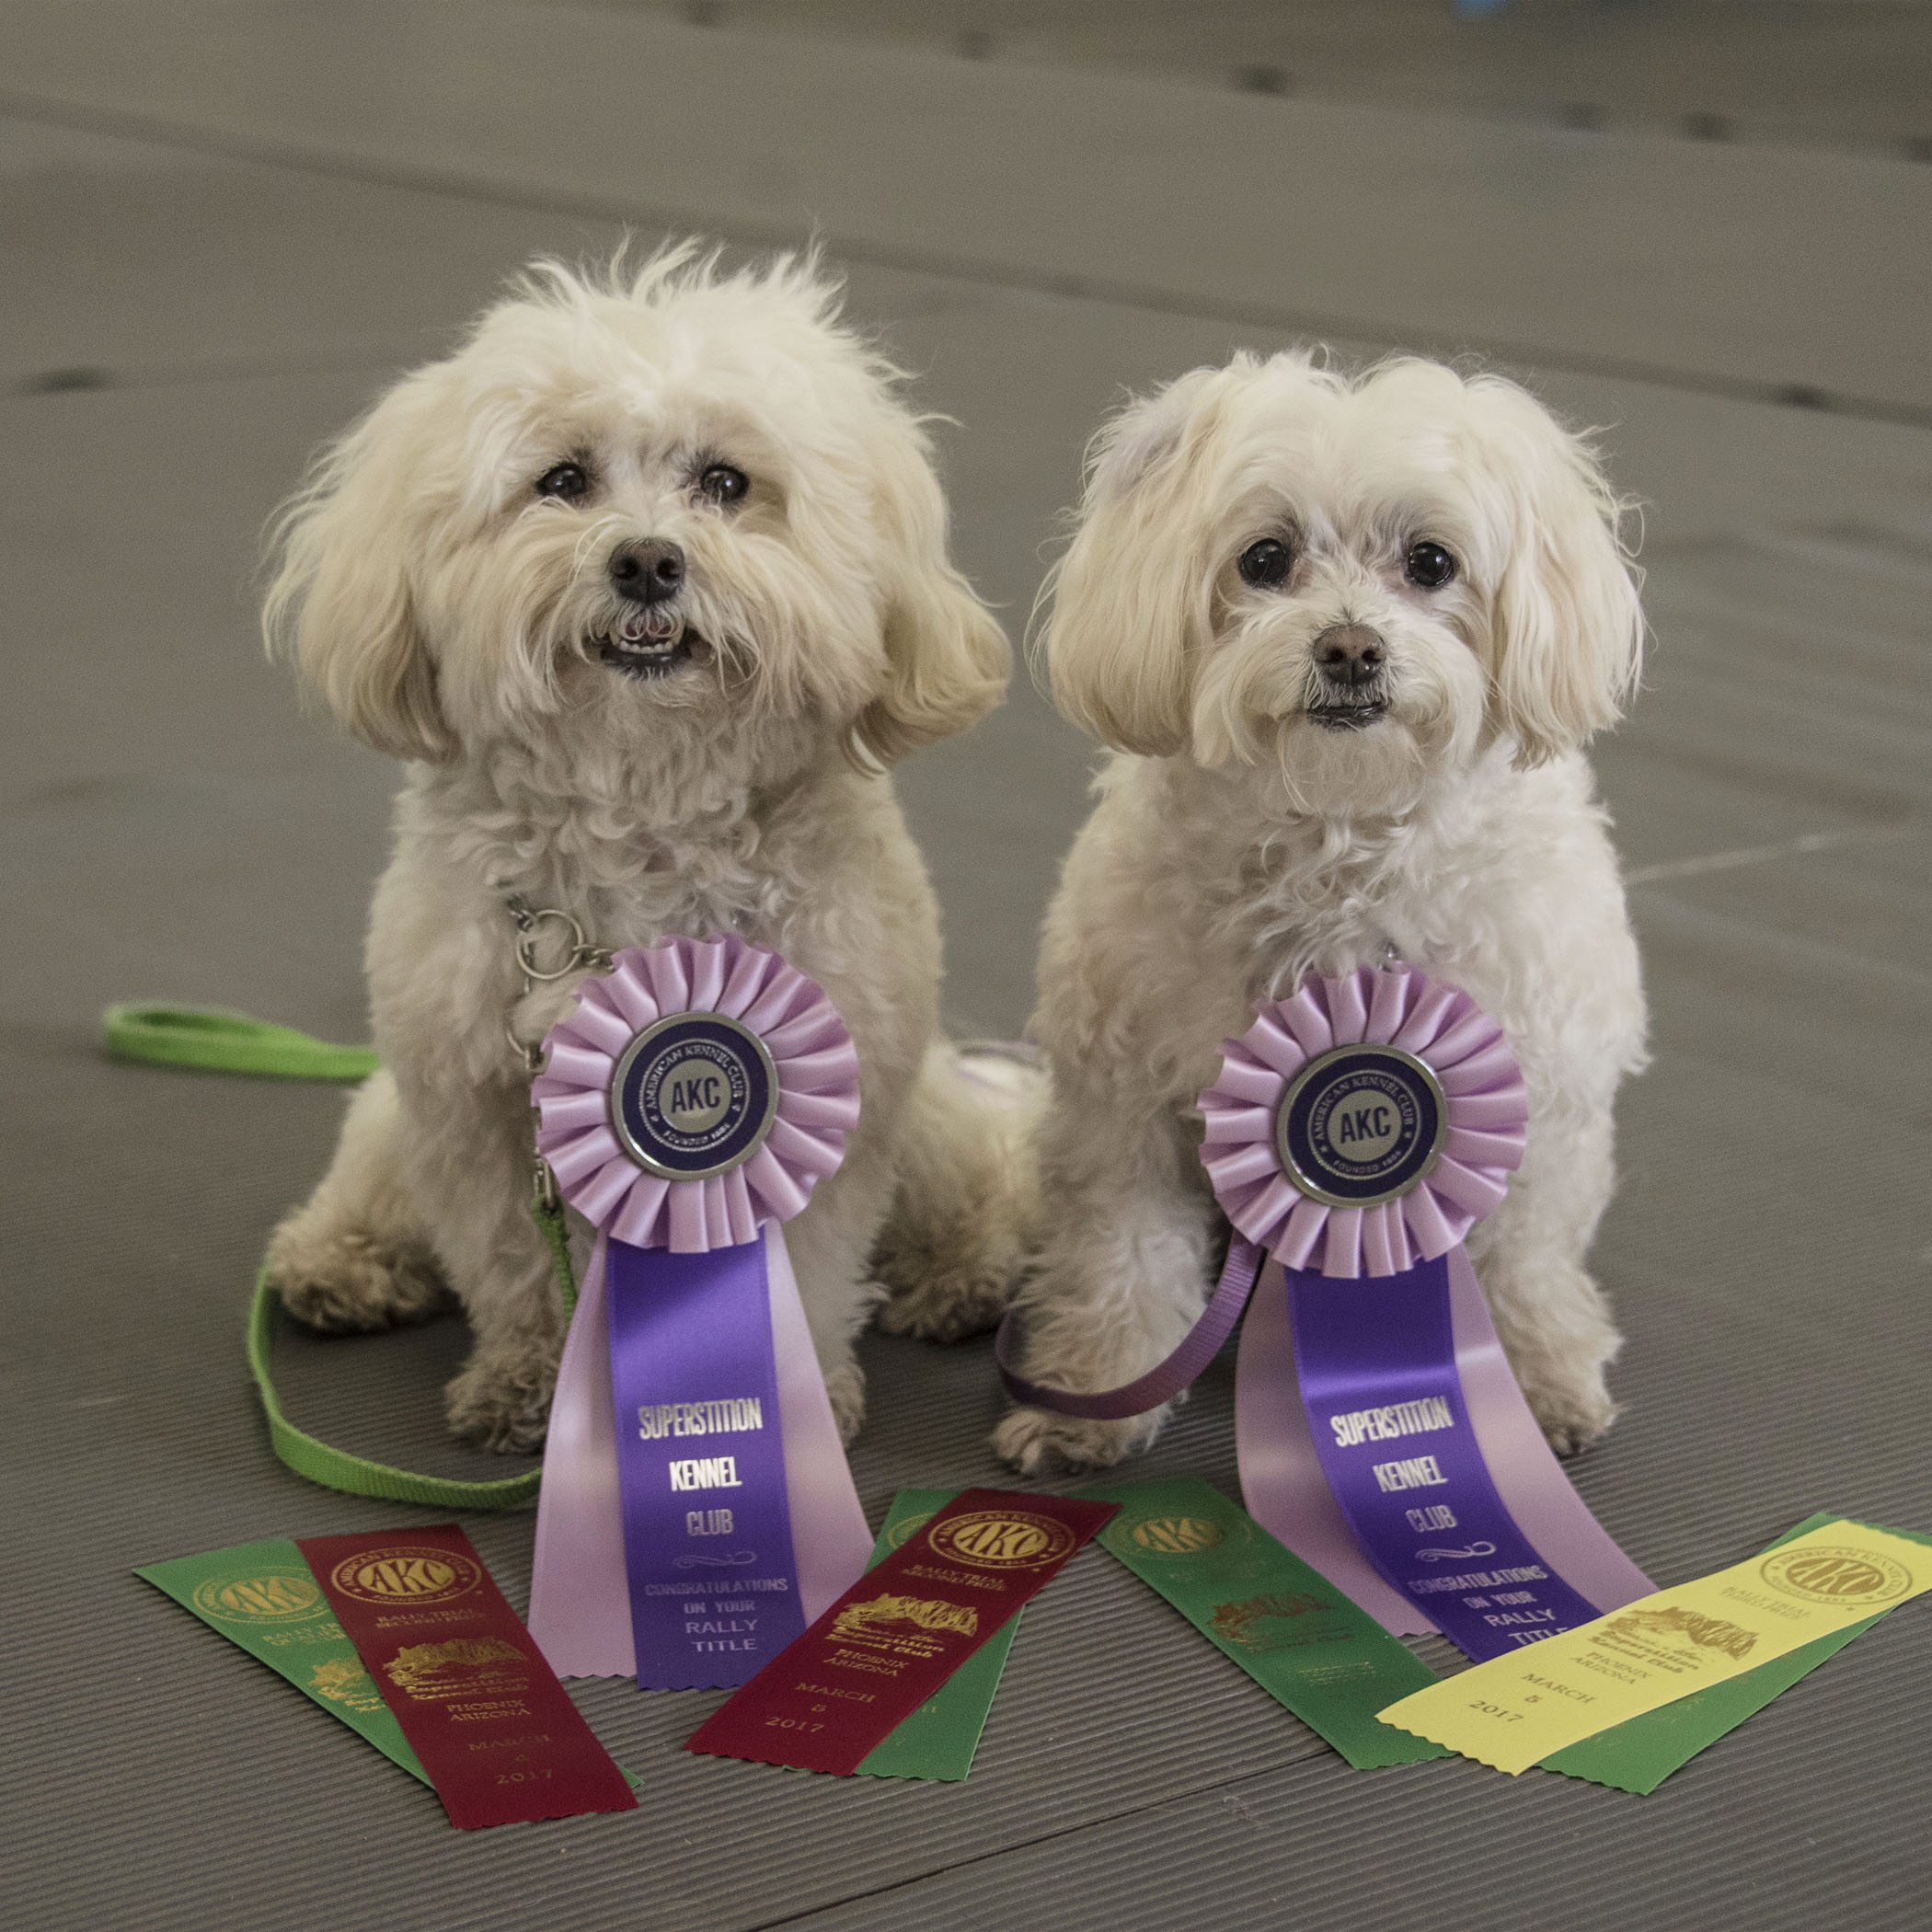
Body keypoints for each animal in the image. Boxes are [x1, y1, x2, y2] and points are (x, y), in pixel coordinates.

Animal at [270, 245, 1028, 1453]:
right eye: (563, 481)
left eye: (723, 483)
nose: (646, 562)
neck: (644, 810)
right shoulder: (476, 1108)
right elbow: (514, 1264)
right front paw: (527, 1386)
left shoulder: (834, 1096)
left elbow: (808, 1263)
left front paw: (796, 1393)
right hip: (395, 1115)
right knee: (373, 1191)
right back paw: (337, 1263)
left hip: (927, 1109)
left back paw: (961, 1274)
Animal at [1005, 351, 1653, 1460]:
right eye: (1264, 559)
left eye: (1431, 563)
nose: (1350, 649)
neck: (1341, 848)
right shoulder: (1125, 1109)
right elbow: (1124, 1254)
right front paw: (1096, 1391)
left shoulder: (1538, 1101)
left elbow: (1523, 1258)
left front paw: (1536, 1383)